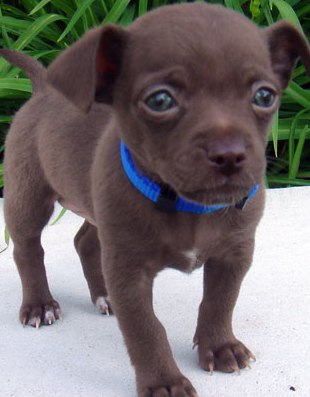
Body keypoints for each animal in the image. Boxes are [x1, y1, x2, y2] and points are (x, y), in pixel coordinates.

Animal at [0, 3, 310, 396]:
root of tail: (42, 87)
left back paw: (103, 294)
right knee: (28, 248)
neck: (188, 206)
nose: (229, 154)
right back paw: (40, 304)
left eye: (265, 96)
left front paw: (220, 346)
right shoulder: (129, 270)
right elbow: (146, 329)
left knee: (85, 241)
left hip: (98, 207)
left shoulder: (235, 254)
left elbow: (220, 301)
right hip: (28, 194)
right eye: (160, 100)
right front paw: (165, 381)